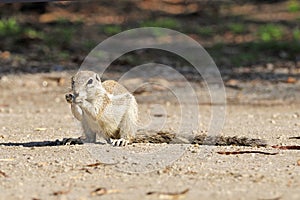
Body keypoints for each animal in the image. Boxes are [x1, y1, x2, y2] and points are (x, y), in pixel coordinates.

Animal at [66, 70, 268, 147]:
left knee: (125, 136)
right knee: (90, 137)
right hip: (88, 127)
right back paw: (77, 139)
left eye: (90, 81)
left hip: (128, 122)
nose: (73, 92)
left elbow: (97, 111)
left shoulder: (103, 103)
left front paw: (80, 100)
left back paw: (121, 140)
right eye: (72, 80)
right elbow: (79, 115)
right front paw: (70, 99)